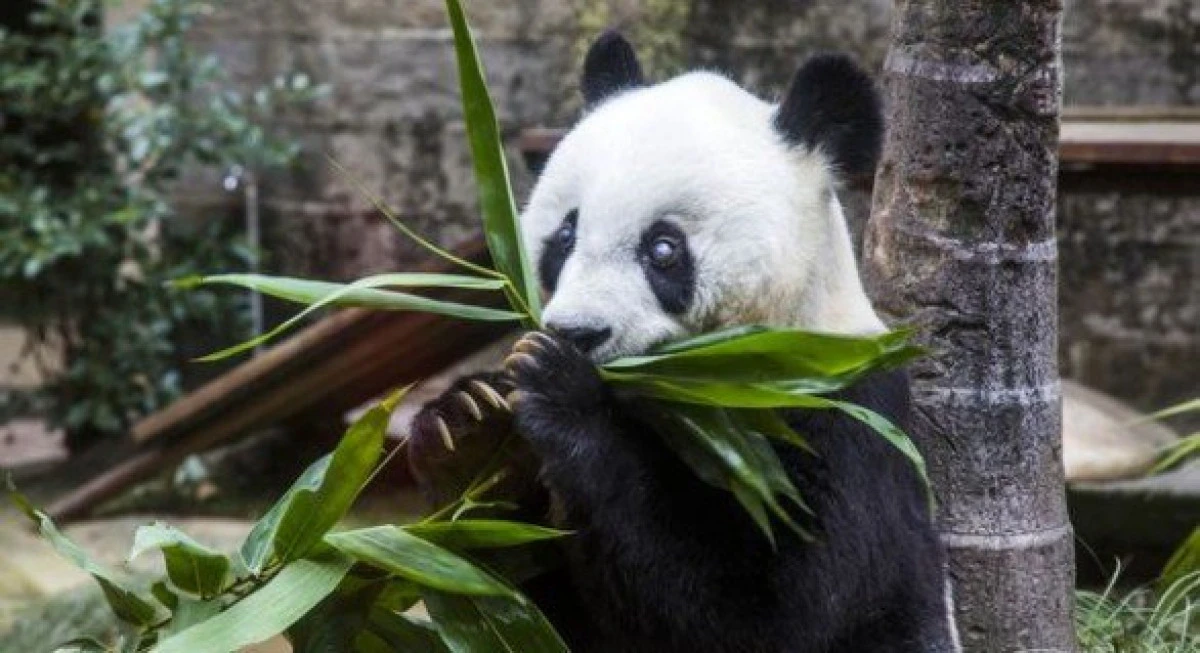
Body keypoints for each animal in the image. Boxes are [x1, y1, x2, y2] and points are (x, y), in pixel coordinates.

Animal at [408, 31, 962, 653]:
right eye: (565, 235)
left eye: (664, 249)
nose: (577, 332)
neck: (689, 388)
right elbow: (509, 594)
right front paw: (469, 428)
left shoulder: (843, 417)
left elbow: (770, 613)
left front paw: (560, 391)